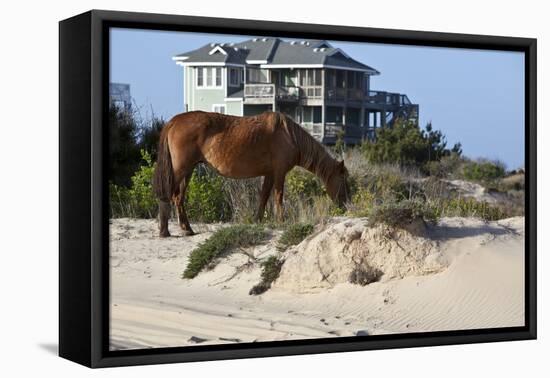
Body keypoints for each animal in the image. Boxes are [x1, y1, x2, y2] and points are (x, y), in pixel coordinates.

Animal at [153, 110, 352, 238]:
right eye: (343, 180)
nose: (346, 204)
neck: (289, 135)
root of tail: (174, 121)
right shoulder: (279, 173)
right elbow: (278, 196)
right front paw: (281, 220)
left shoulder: (270, 174)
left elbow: (263, 197)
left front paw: (257, 220)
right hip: (180, 170)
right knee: (169, 196)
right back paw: (165, 231)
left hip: (188, 170)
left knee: (178, 198)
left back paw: (187, 229)